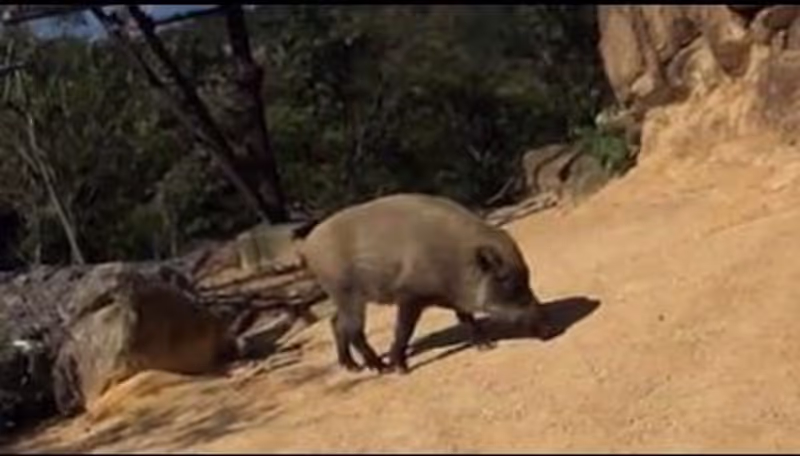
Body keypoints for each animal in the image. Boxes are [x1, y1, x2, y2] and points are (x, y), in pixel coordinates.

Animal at [294, 193, 548, 374]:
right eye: (504, 278)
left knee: (336, 322)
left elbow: (466, 317)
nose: (546, 329)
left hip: (340, 296)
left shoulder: (453, 296)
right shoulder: (409, 295)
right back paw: (380, 368)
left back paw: (352, 368)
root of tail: (306, 248)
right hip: (346, 292)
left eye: (527, 275)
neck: (453, 261)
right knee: (353, 328)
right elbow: (404, 329)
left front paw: (486, 347)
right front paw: (400, 369)